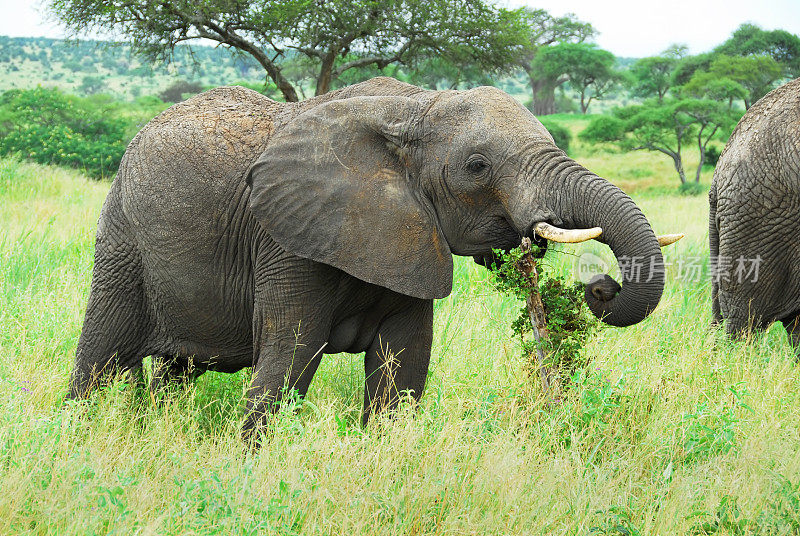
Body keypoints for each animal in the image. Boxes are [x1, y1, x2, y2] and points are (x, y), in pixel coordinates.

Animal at [67, 75, 668, 438]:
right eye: (477, 166)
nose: (601, 287)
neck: (411, 109)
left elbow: (405, 360)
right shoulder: (288, 237)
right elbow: (290, 356)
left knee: (175, 370)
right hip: (123, 236)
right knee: (102, 355)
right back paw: (78, 431)